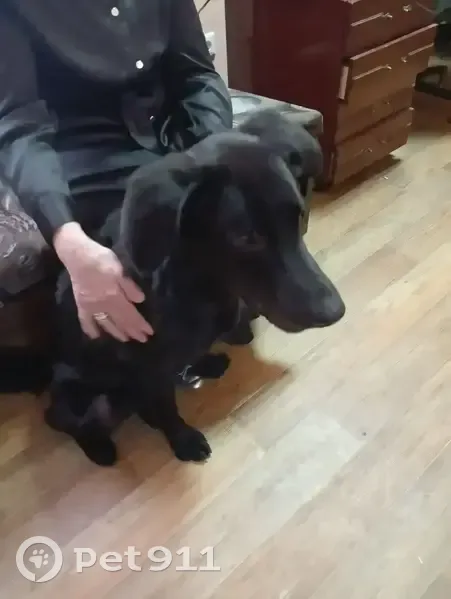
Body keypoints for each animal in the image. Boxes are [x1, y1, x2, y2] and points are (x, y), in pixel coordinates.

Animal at [44, 109, 345, 466]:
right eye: (248, 237)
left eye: (298, 217)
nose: (336, 312)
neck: (202, 287)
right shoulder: (148, 365)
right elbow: (167, 409)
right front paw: (184, 440)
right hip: (90, 402)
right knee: (67, 421)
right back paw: (100, 447)